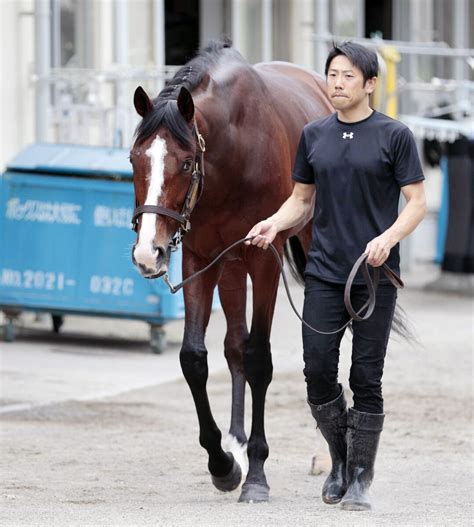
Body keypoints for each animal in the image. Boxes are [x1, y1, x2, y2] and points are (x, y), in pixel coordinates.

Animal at [128, 38, 332, 504]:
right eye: (133, 159)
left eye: (186, 163)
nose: (149, 252)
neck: (236, 149)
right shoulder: (200, 259)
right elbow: (194, 358)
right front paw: (223, 463)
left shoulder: (264, 260)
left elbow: (259, 359)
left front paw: (255, 473)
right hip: (230, 267)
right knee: (234, 344)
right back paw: (236, 443)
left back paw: (327, 452)